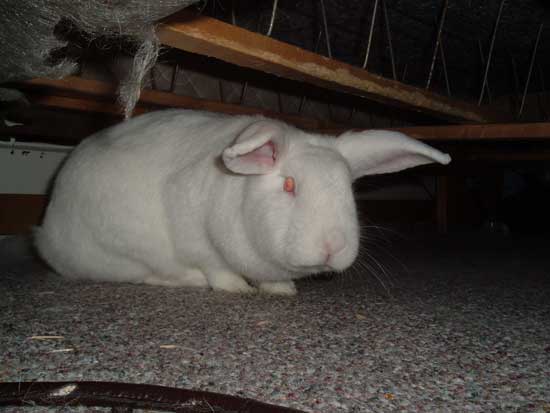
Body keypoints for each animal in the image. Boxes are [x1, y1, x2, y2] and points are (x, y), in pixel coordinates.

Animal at [34, 109, 450, 294]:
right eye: (289, 185)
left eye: (347, 189)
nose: (333, 246)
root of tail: (47, 228)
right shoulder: (194, 232)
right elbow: (216, 268)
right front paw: (238, 288)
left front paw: (282, 291)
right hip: (121, 253)